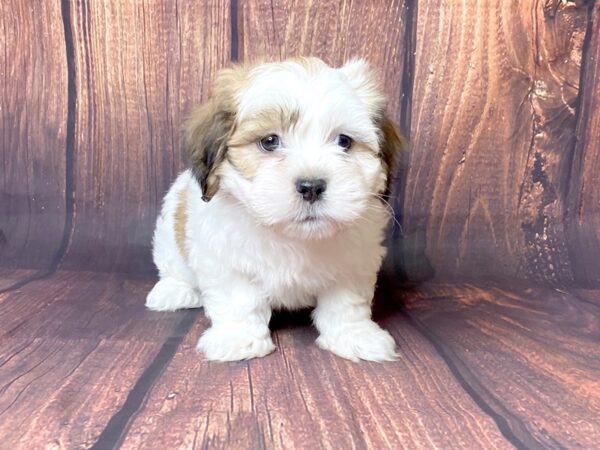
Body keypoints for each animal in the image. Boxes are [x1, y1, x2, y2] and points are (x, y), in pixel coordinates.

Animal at [145, 58, 404, 362]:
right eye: (269, 141)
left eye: (344, 142)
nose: (311, 186)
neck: (292, 236)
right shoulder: (224, 259)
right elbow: (238, 297)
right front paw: (239, 338)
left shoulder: (354, 261)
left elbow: (345, 302)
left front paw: (354, 335)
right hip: (169, 231)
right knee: (173, 265)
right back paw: (173, 292)